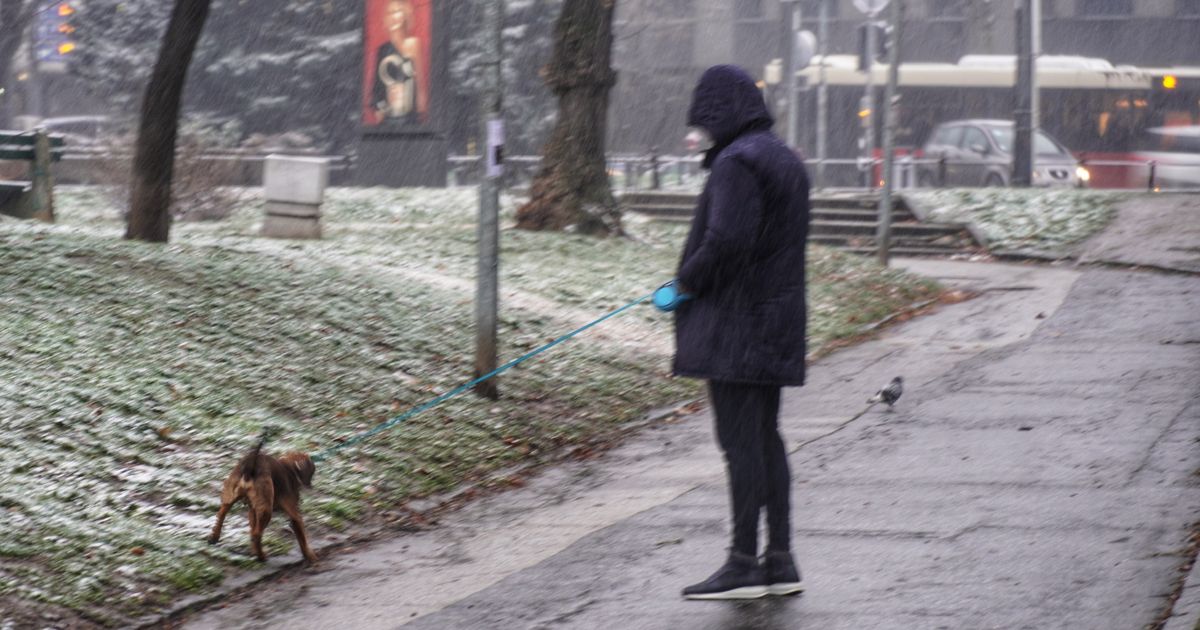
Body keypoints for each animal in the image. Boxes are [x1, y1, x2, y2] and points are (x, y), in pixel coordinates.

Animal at [207, 436, 316, 564]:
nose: (310, 485)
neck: (290, 469)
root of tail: (250, 467)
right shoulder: (295, 515)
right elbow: (302, 538)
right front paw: (310, 556)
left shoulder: (253, 511)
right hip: (266, 511)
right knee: (257, 534)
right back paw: (261, 556)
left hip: (230, 498)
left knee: (221, 516)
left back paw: (214, 538)